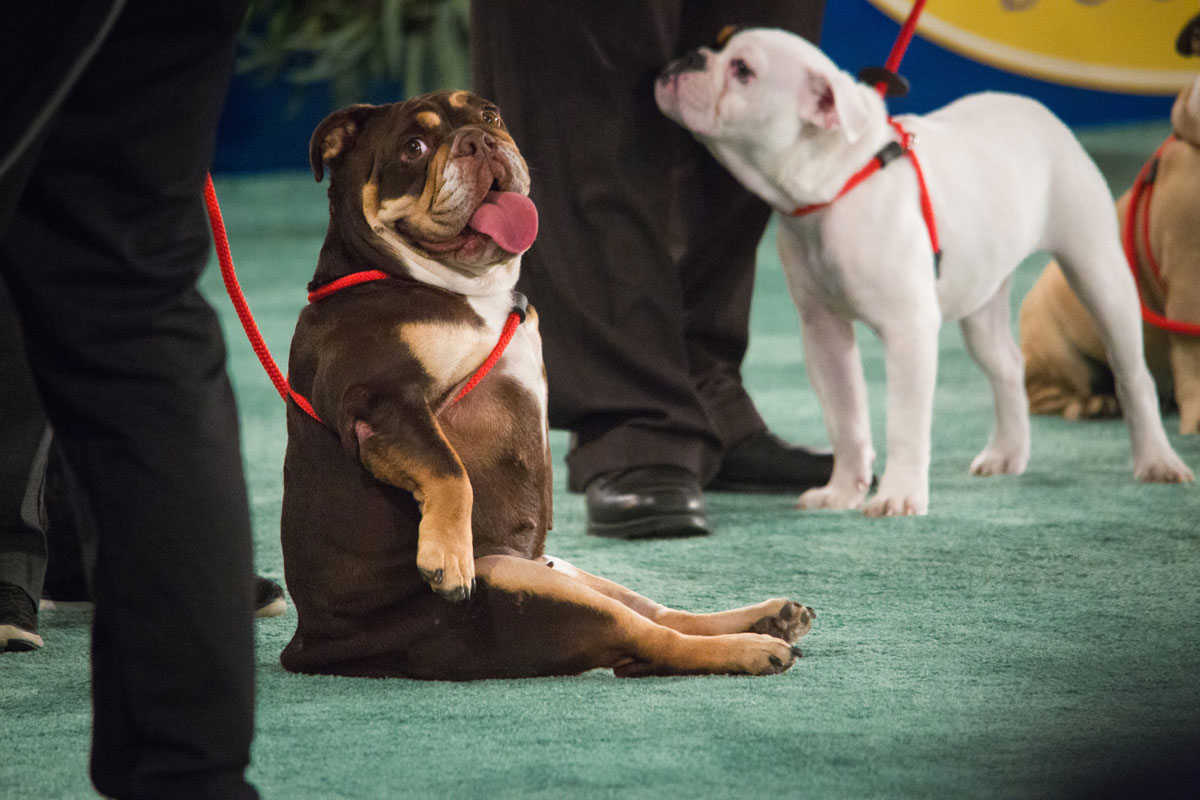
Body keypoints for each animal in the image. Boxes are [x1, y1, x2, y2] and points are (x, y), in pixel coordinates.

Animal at [276, 94, 811, 681]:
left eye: (489, 116)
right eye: (413, 148)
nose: (477, 141)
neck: (459, 286)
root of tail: (317, 645)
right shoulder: (383, 399)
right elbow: (449, 470)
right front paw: (447, 555)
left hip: (563, 572)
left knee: (655, 617)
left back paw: (765, 620)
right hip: (525, 585)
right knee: (646, 639)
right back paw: (750, 648)